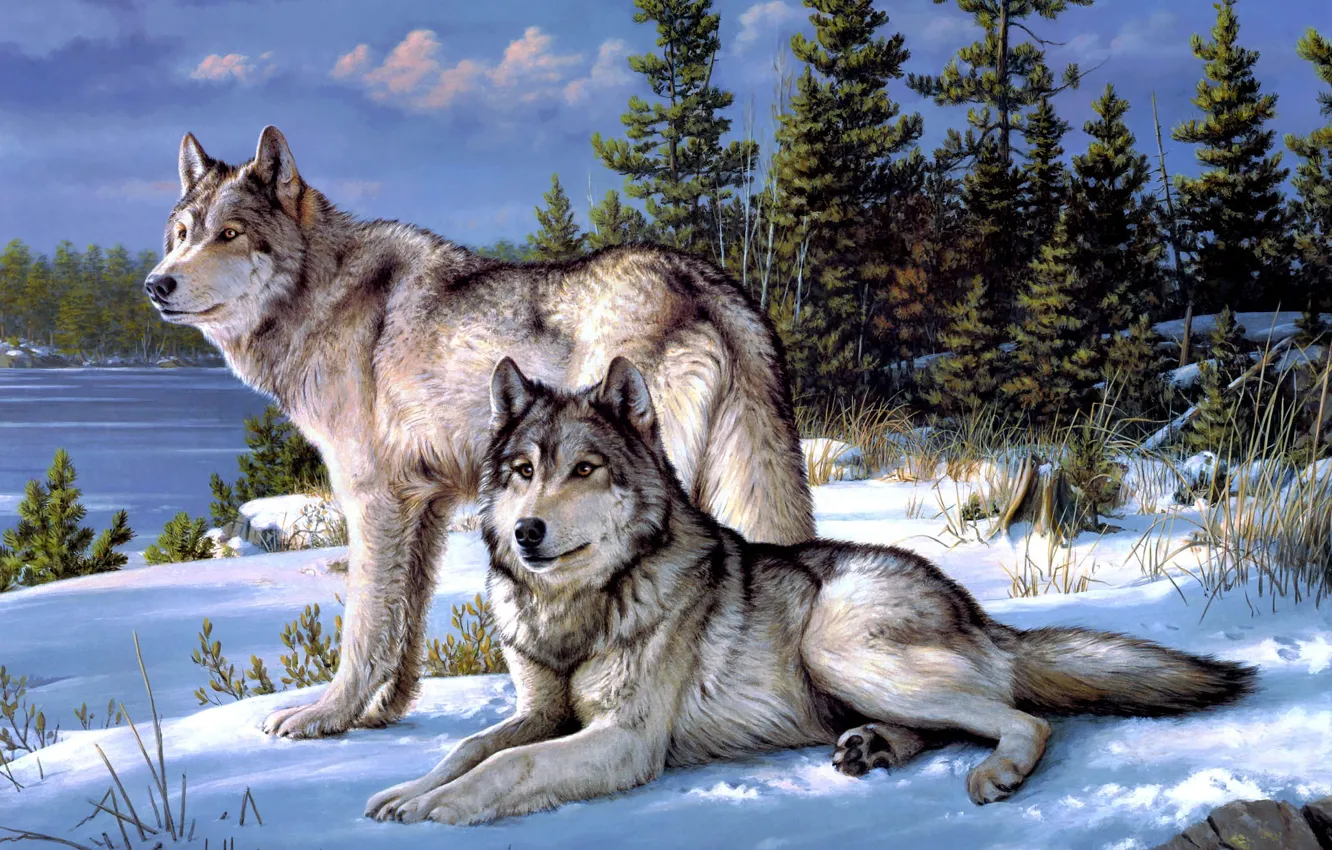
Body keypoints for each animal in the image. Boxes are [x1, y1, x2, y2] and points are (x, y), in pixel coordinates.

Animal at [142, 126, 815, 740]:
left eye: (230, 234)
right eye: (182, 235)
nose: (156, 284)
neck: (321, 295)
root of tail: (707, 281)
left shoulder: (372, 501)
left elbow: (362, 626)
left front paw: (325, 717)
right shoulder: (425, 505)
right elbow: (405, 624)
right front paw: (382, 713)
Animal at [364, 356, 1257, 824]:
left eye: (584, 469)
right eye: (523, 471)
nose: (527, 533)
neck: (578, 609)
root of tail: (976, 611)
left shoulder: (623, 740)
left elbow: (508, 768)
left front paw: (436, 807)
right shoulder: (539, 712)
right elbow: (468, 749)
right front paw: (406, 789)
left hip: (836, 646)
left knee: (1024, 719)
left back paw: (993, 773)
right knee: (953, 722)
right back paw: (874, 749)